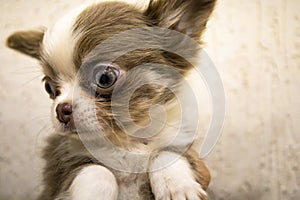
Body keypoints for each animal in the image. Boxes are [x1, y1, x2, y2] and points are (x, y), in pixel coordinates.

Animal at [6, 0, 216, 200]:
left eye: (105, 78)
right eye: (49, 87)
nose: (61, 110)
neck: (125, 141)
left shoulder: (180, 143)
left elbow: (164, 154)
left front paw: (179, 187)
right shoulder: (64, 161)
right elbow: (98, 172)